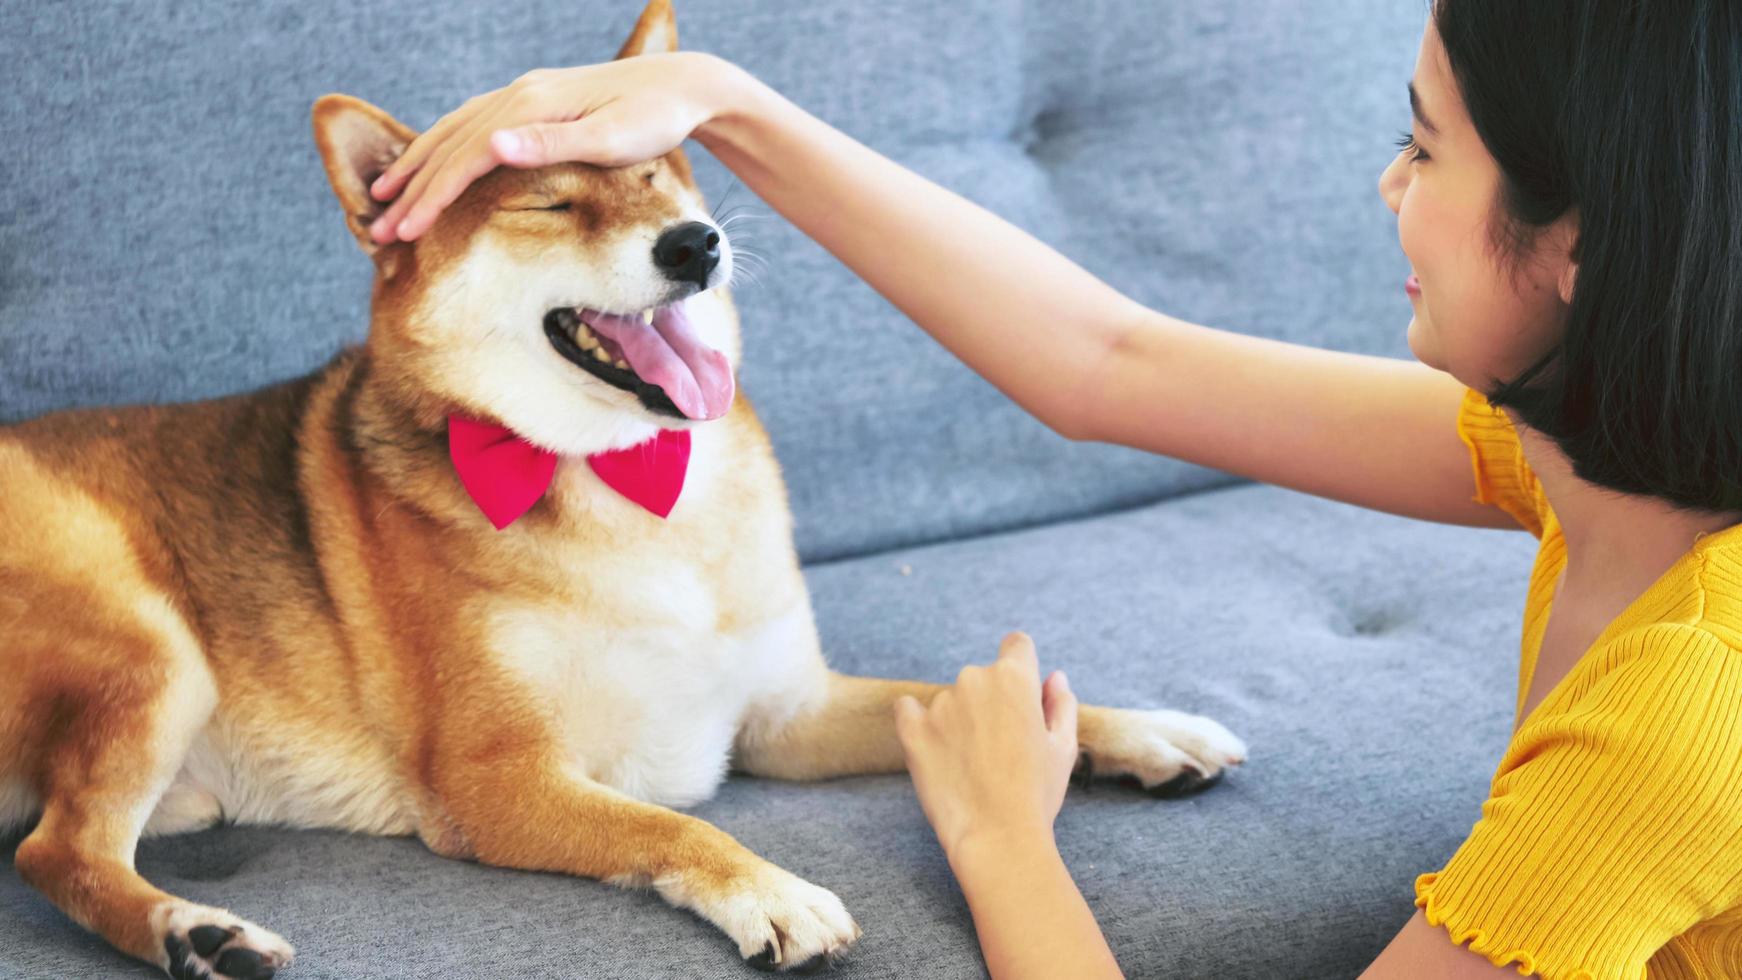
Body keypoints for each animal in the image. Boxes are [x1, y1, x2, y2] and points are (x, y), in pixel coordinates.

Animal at [0, 3, 1254, 974]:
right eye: (548, 204)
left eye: (653, 172)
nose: (695, 242)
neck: (633, 481)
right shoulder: (496, 777)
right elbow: (671, 828)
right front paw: (771, 890)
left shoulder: (785, 714)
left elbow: (947, 690)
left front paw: (1134, 727)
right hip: (148, 643)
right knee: (55, 852)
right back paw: (193, 929)